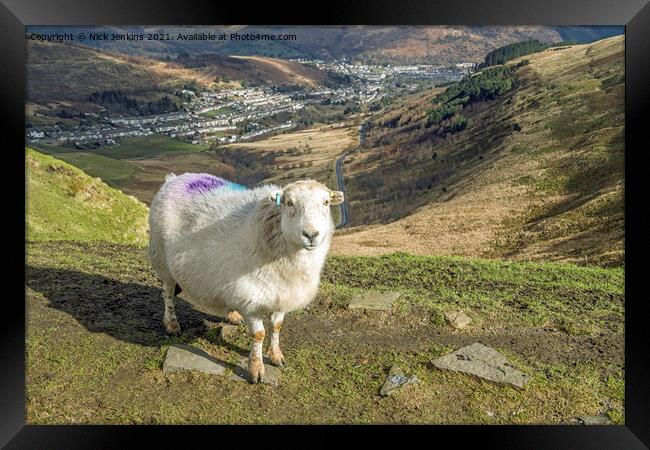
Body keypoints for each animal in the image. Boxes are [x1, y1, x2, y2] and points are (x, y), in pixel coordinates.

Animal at [148, 172, 344, 384]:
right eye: (289, 203)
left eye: (326, 202)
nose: (311, 234)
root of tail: (176, 178)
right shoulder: (251, 299)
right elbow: (259, 334)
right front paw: (256, 369)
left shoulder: (282, 293)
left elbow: (277, 326)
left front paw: (276, 356)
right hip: (162, 260)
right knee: (167, 294)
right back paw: (172, 324)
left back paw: (233, 315)